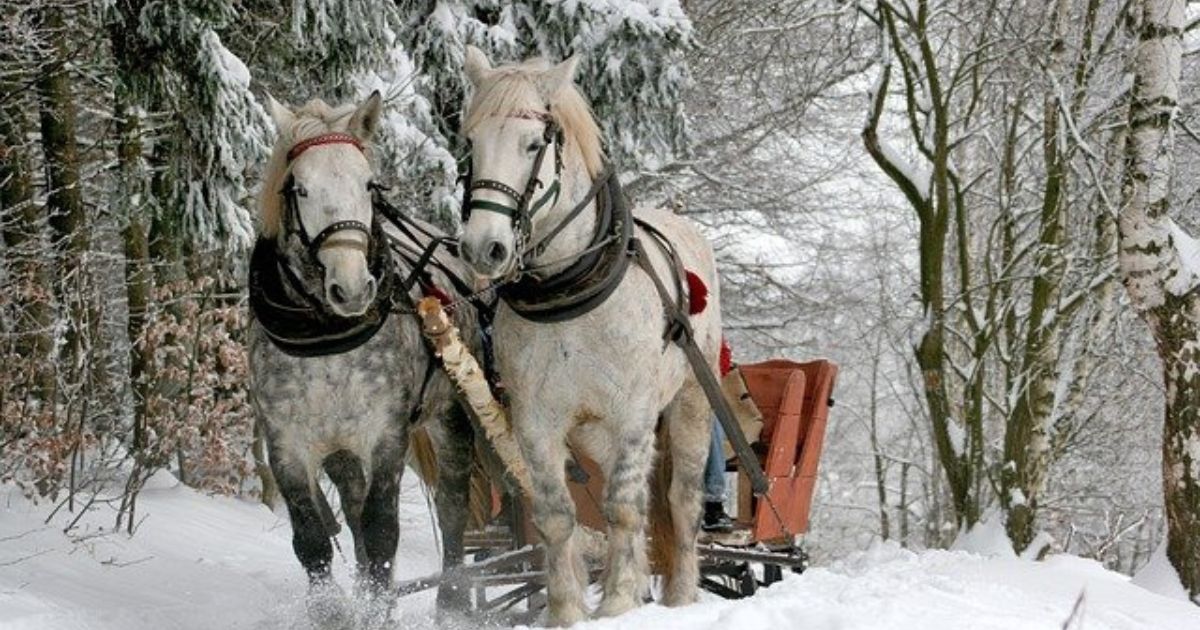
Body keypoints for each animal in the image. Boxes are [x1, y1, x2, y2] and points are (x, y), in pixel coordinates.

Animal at [456, 48, 720, 624]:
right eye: (471, 143)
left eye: (534, 144)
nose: (484, 248)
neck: (569, 292)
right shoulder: (536, 421)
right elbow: (558, 515)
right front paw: (567, 611)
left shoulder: (634, 414)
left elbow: (622, 508)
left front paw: (618, 602)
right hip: (594, 431)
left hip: (689, 402)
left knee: (680, 501)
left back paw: (681, 595)